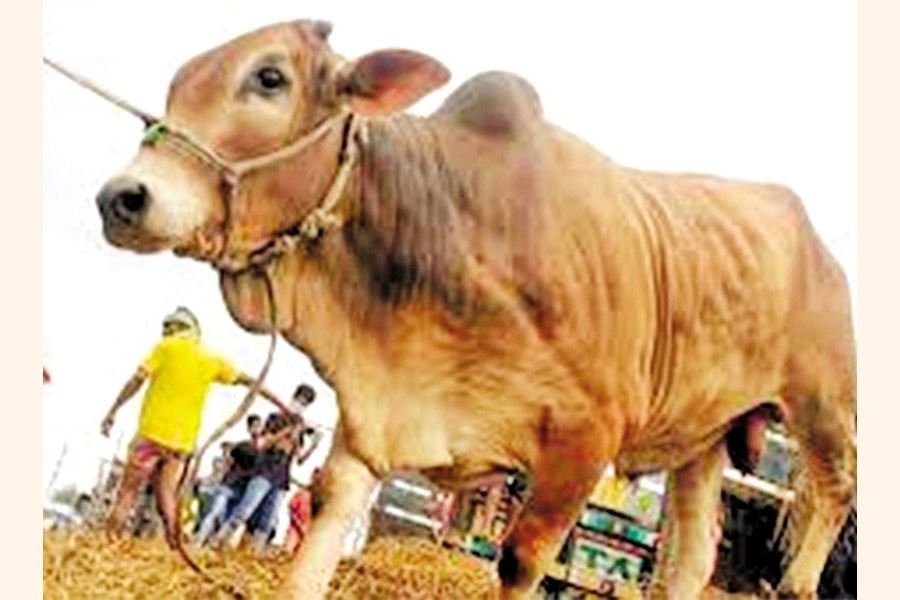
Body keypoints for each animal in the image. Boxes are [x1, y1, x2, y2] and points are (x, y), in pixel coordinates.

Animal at [93, 20, 856, 599]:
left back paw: (797, 581)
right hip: (705, 438)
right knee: (690, 562)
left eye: (269, 78)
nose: (121, 197)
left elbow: (520, 561)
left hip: (823, 406)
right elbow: (329, 518)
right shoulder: (375, 415)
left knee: (835, 490)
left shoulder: (586, 438)